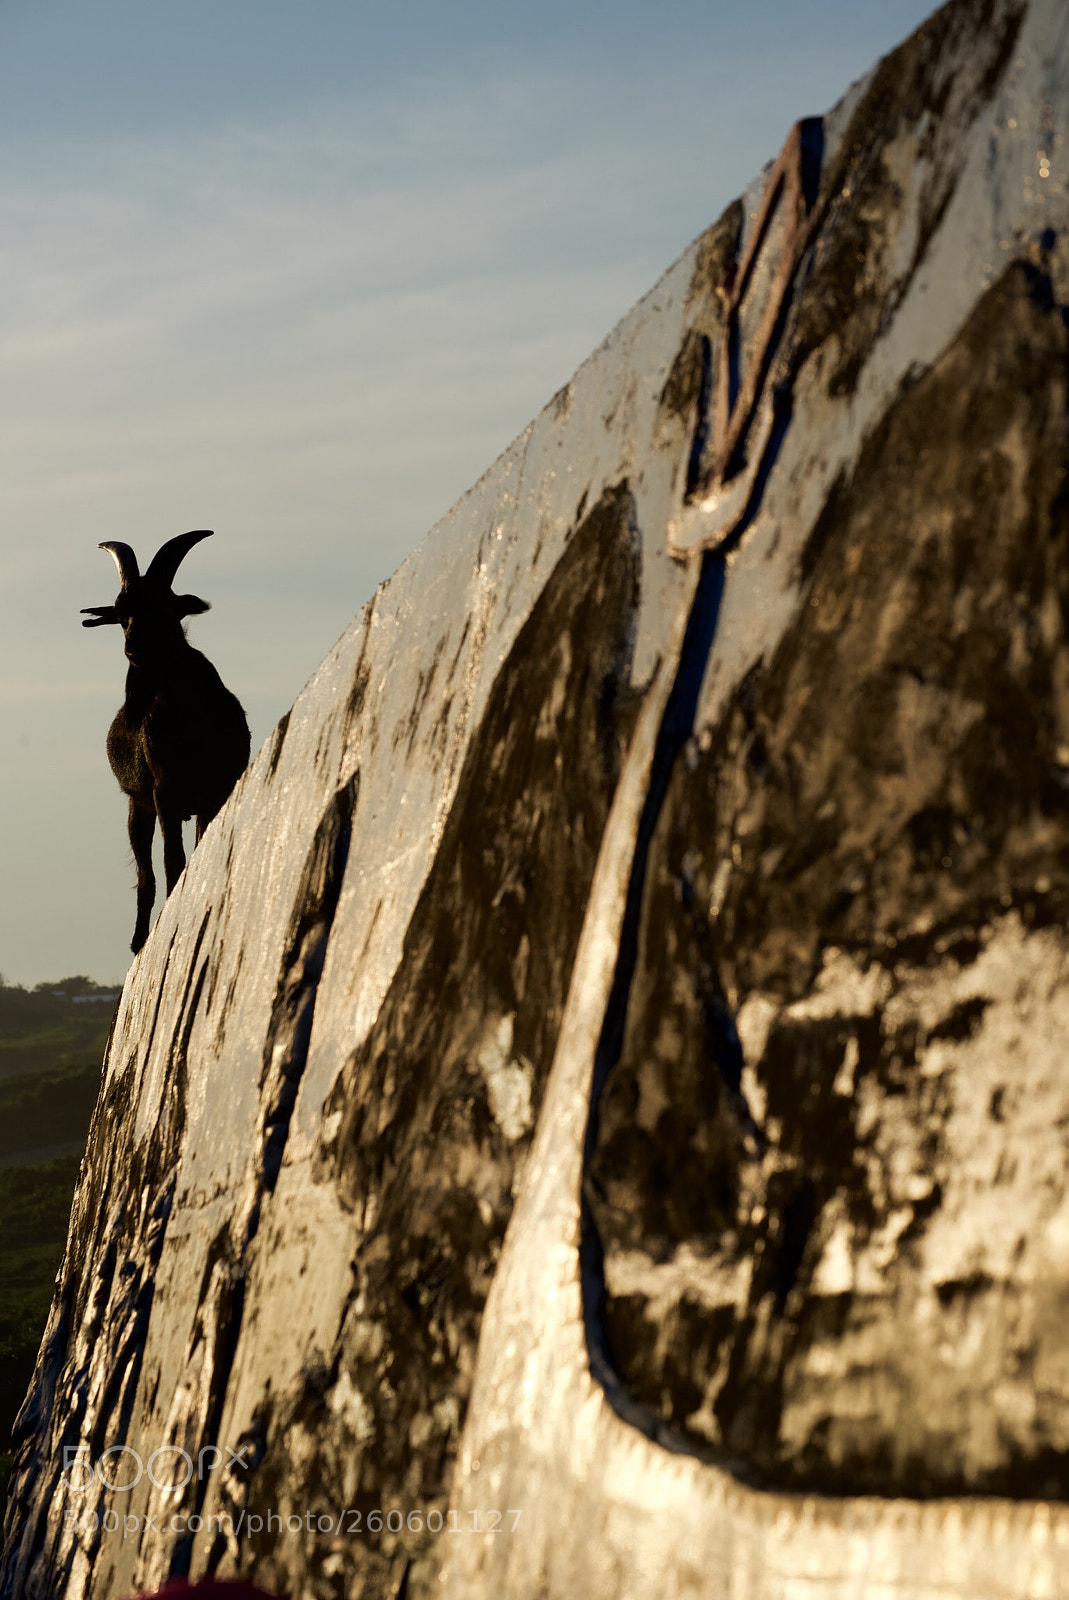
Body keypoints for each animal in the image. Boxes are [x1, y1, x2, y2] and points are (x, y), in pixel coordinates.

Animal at [82, 530, 251, 954]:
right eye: (120, 613)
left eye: (165, 607)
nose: (134, 648)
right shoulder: (164, 791)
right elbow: (172, 857)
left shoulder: (217, 787)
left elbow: (198, 846)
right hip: (137, 808)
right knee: (146, 875)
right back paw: (139, 941)